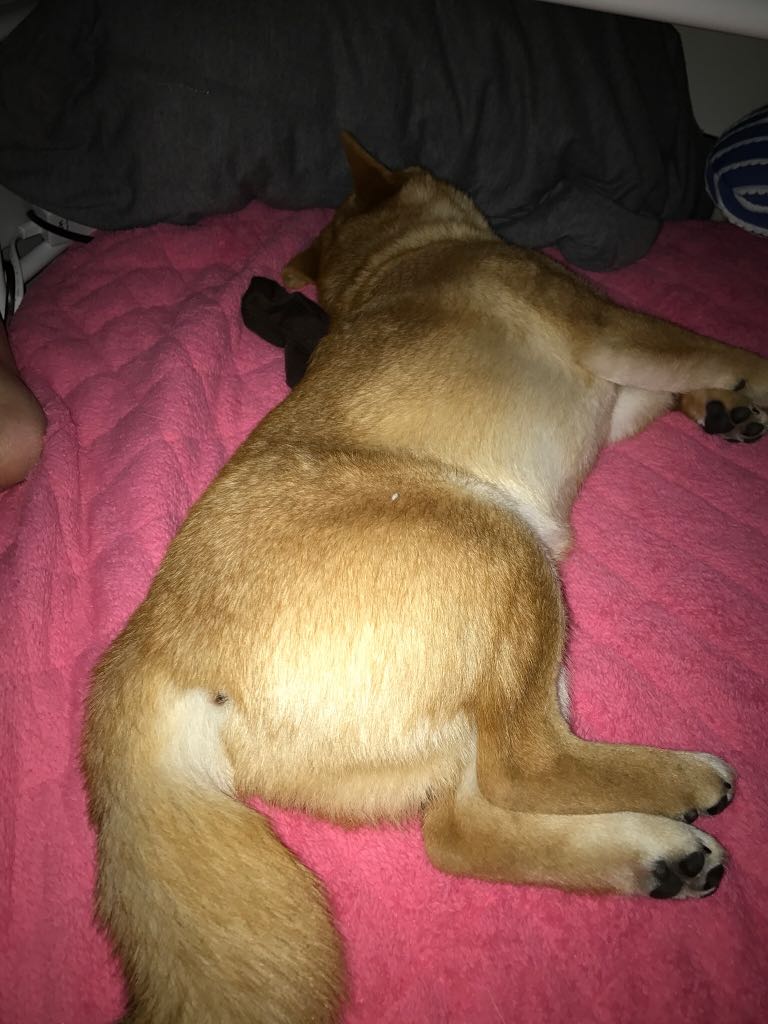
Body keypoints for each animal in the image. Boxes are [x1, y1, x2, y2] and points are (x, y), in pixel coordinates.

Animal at [82, 134, 768, 1023]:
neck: (403, 254)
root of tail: (157, 650)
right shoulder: (605, 328)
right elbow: (711, 346)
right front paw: (745, 376)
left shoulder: (615, 394)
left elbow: (675, 381)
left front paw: (720, 401)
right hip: (504, 548)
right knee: (527, 767)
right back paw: (680, 789)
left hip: (497, 664)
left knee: (461, 830)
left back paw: (655, 861)